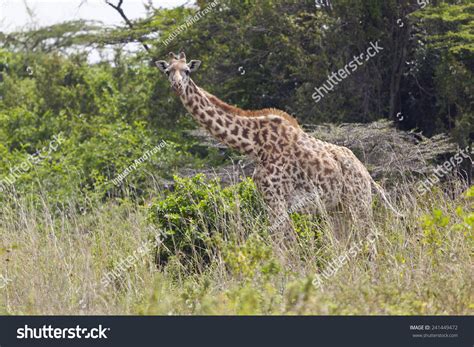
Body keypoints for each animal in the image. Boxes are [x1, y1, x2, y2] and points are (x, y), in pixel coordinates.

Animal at [156, 53, 400, 241]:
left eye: (187, 70)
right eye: (167, 71)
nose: (177, 86)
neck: (254, 145)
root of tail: (366, 173)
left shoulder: (277, 199)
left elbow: (284, 243)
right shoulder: (268, 200)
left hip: (358, 200)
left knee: (369, 237)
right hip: (338, 207)